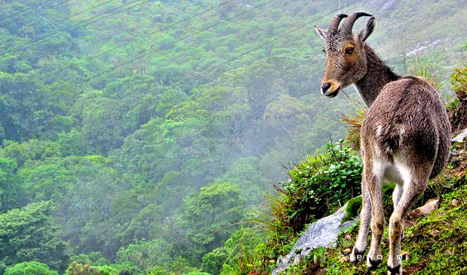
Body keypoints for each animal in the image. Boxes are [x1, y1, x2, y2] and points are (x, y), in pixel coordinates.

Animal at [314, 12, 454, 274]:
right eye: (325, 49)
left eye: (349, 48)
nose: (327, 86)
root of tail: (391, 129)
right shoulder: (390, 176)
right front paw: (361, 250)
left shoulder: (370, 167)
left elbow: (369, 204)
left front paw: (359, 250)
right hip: (414, 171)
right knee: (393, 219)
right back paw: (390, 263)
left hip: (380, 168)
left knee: (382, 217)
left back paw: (376, 259)